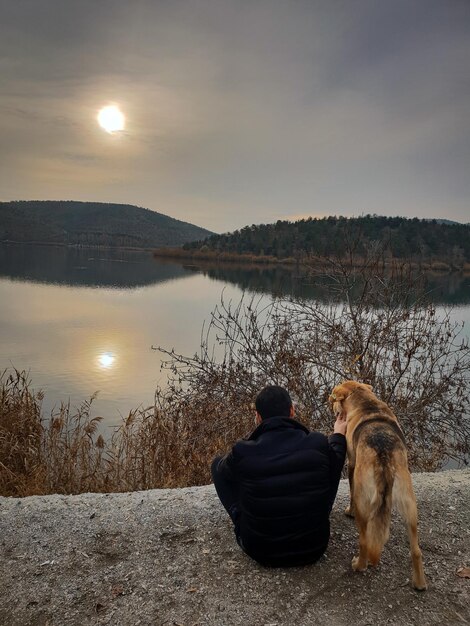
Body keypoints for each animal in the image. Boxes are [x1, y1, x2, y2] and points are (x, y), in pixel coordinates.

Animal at [328, 378, 428, 588]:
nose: (331, 403)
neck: (365, 402)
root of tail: (384, 459)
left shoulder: (351, 464)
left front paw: (348, 511)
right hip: (409, 504)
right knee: (416, 550)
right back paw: (419, 583)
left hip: (363, 502)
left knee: (364, 541)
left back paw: (358, 565)